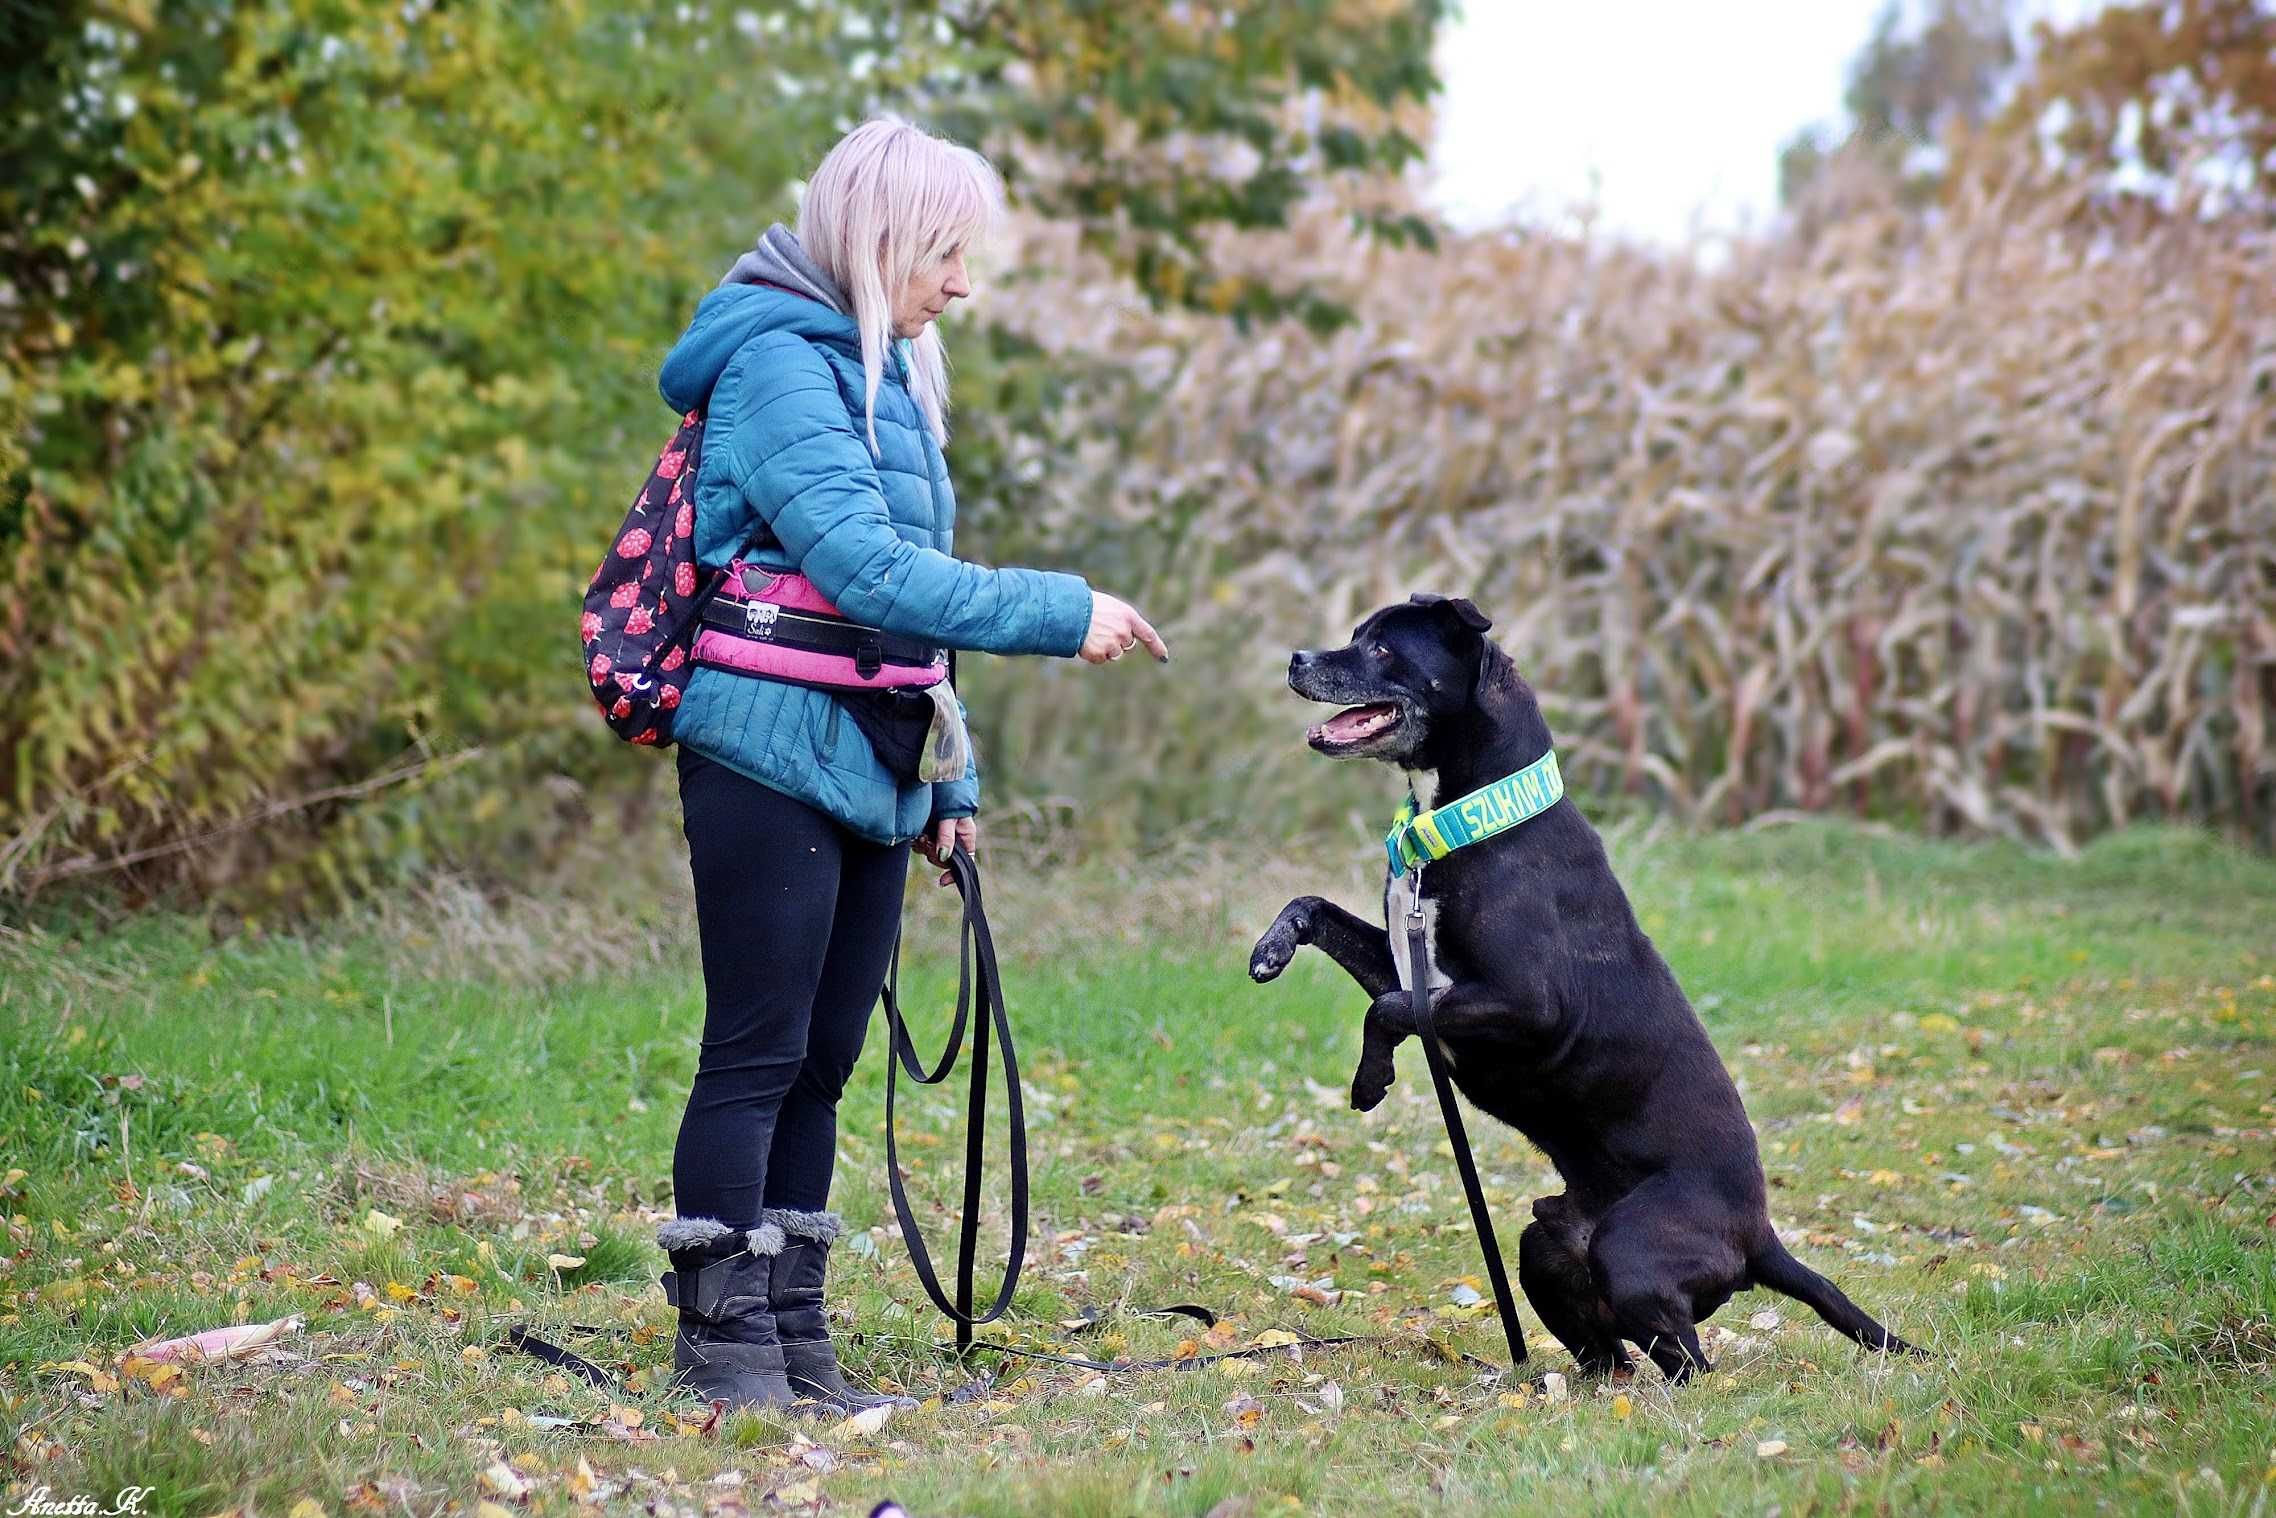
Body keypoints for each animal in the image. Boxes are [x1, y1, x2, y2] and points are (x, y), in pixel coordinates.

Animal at [1247, 600, 1920, 1383]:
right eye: (1356, 635)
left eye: (1383, 647)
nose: (1296, 658)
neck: (1472, 818)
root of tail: (1759, 1238)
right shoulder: (1413, 968)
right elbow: (1318, 910)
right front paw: (1270, 950)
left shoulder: (1527, 1006)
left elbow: (1386, 1010)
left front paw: (1370, 1079)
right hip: (1549, 1248)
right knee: (1613, 1356)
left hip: (1630, 1251)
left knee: (1692, 1364)